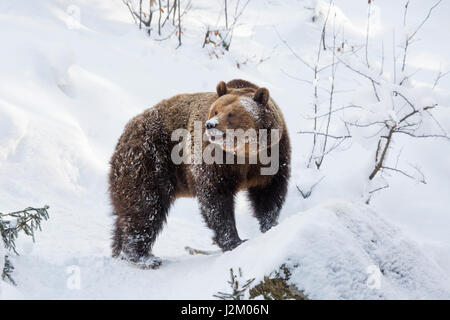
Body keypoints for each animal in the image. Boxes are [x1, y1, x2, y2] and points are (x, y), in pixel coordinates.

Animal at [109, 79, 292, 268]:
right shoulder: (214, 160)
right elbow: (216, 199)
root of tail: (127, 130)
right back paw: (142, 256)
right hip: (151, 160)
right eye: (216, 110)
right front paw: (234, 241)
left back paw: (121, 251)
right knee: (145, 206)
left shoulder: (272, 156)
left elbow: (269, 194)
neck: (244, 154)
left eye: (231, 114)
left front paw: (270, 226)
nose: (211, 124)